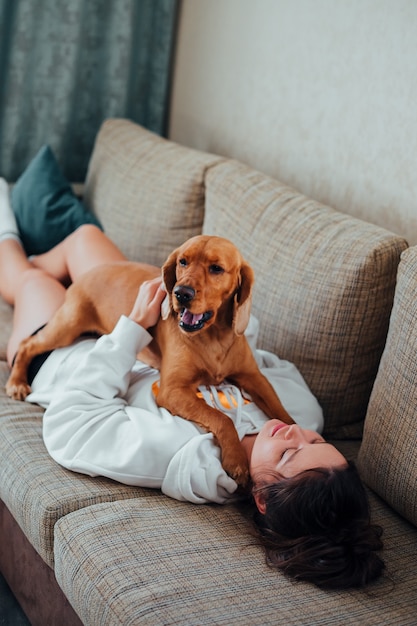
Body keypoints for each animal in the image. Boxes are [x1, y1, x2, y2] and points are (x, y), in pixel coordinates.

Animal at [5, 234, 292, 482]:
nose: (181, 293)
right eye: (183, 262)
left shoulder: (254, 378)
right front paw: (236, 459)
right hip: (66, 327)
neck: (213, 338)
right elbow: (221, 417)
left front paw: (297, 433)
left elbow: (281, 410)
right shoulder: (172, 390)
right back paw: (17, 382)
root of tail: (85, 275)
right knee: (27, 344)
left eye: (216, 268)